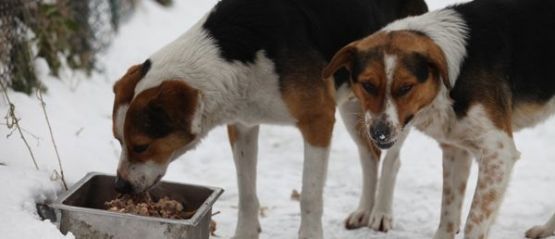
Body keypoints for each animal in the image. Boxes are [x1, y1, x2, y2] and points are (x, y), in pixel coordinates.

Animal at [111, 0, 428, 237]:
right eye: (118, 140)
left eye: (141, 146)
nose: (121, 186)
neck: (237, 52)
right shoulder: (242, 125)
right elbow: (246, 193)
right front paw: (245, 234)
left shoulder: (318, 121)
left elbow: (310, 197)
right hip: (356, 105)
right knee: (369, 155)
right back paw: (364, 210)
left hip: (393, 108)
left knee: (392, 160)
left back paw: (381, 213)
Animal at [324, 0, 555, 237]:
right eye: (368, 85)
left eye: (406, 87)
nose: (380, 133)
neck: (455, 75)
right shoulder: (456, 149)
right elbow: (448, 213)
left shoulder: (498, 153)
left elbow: (473, 222)